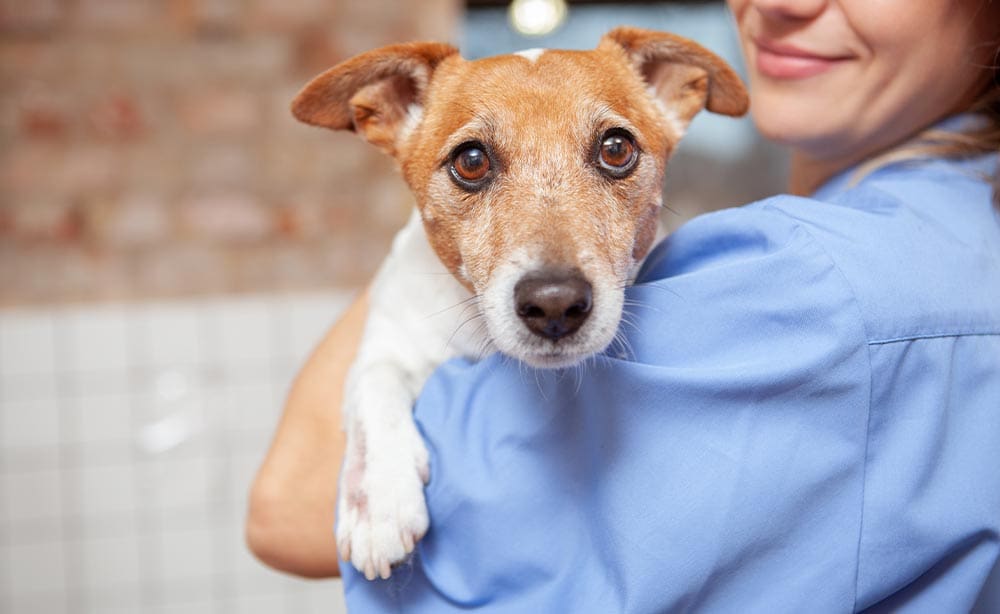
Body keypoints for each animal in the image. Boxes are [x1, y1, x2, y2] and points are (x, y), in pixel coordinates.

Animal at [292, 25, 748, 584]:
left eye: (616, 149)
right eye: (470, 160)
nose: (554, 304)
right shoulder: (384, 346)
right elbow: (376, 390)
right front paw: (378, 501)